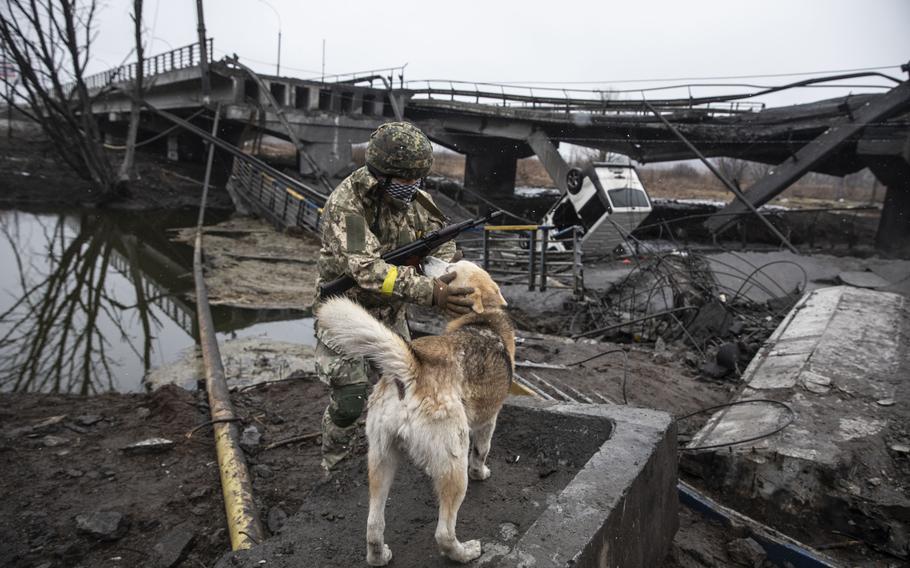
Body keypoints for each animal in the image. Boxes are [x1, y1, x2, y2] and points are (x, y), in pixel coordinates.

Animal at [316, 260, 516, 564]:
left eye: (451, 268)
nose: (427, 261)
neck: (482, 320)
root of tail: (411, 370)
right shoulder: (488, 419)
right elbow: (482, 452)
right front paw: (481, 472)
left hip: (381, 458)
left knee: (373, 524)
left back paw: (379, 556)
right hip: (453, 463)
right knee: (444, 533)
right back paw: (464, 552)